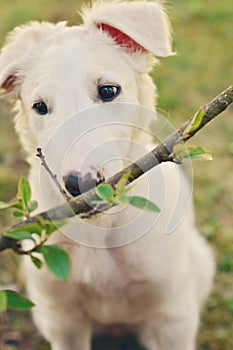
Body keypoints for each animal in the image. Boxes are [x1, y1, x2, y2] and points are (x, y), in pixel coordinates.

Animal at [0, 1, 215, 348]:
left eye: (109, 90)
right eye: (39, 107)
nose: (81, 185)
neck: (104, 230)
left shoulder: (172, 315)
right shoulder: (62, 319)